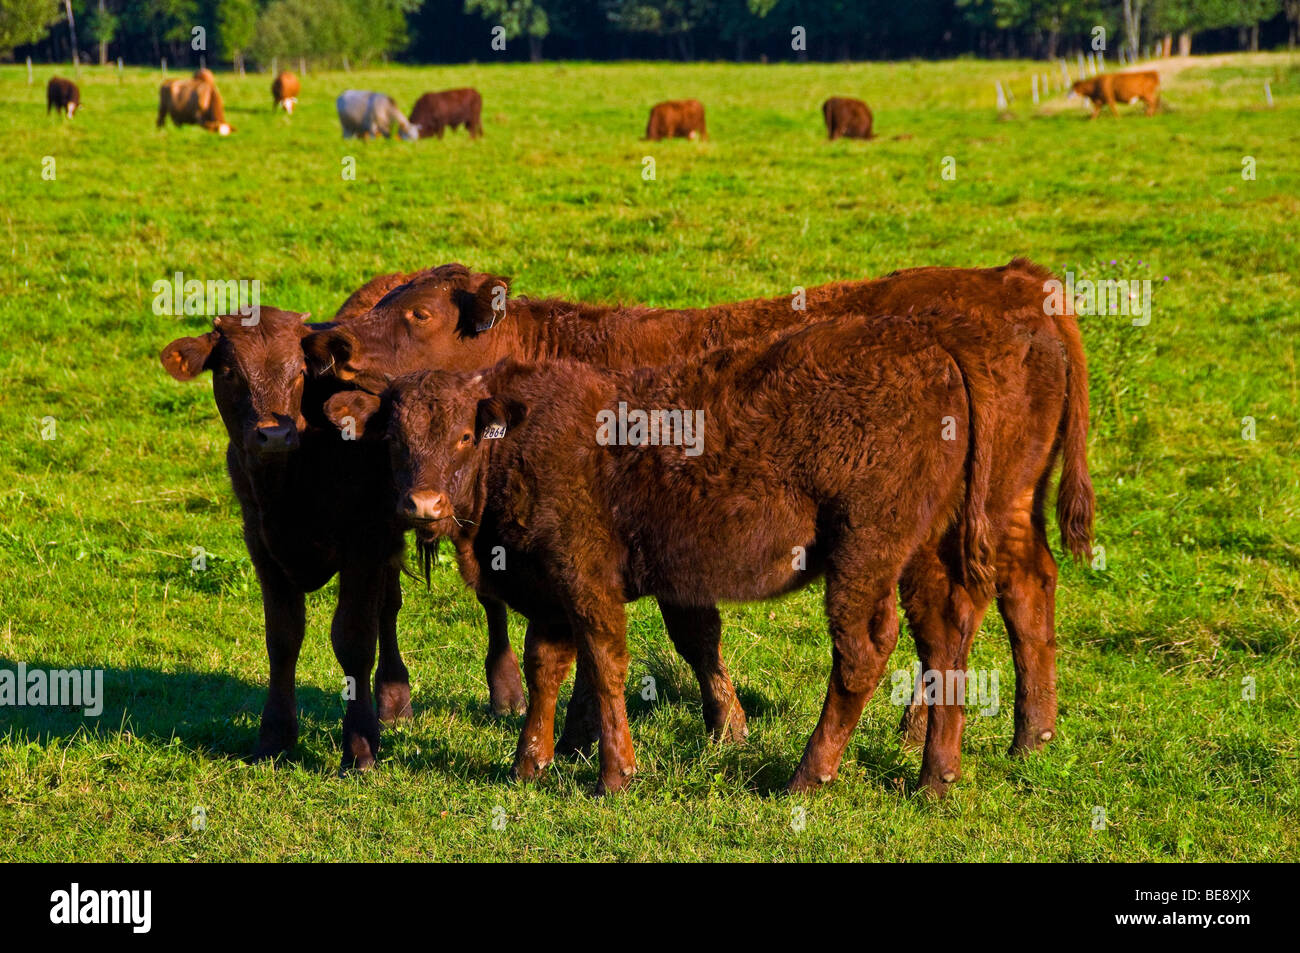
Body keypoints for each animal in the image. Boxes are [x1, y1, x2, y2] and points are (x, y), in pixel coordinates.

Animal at [159, 309, 413, 772]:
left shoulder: (365, 544)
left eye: (298, 373)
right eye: (228, 372)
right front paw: (275, 737)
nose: (274, 435)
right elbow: (282, 638)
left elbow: (353, 639)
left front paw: (360, 746)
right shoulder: (261, 545)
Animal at [305, 260, 1094, 794]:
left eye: (419, 315)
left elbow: (655, 641)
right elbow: (658, 639)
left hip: (928, 532)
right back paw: (996, 745)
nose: (332, 342)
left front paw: (641, 741)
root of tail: (1020, 282)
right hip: (959, 531)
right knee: (989, 605)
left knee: (950, 616)